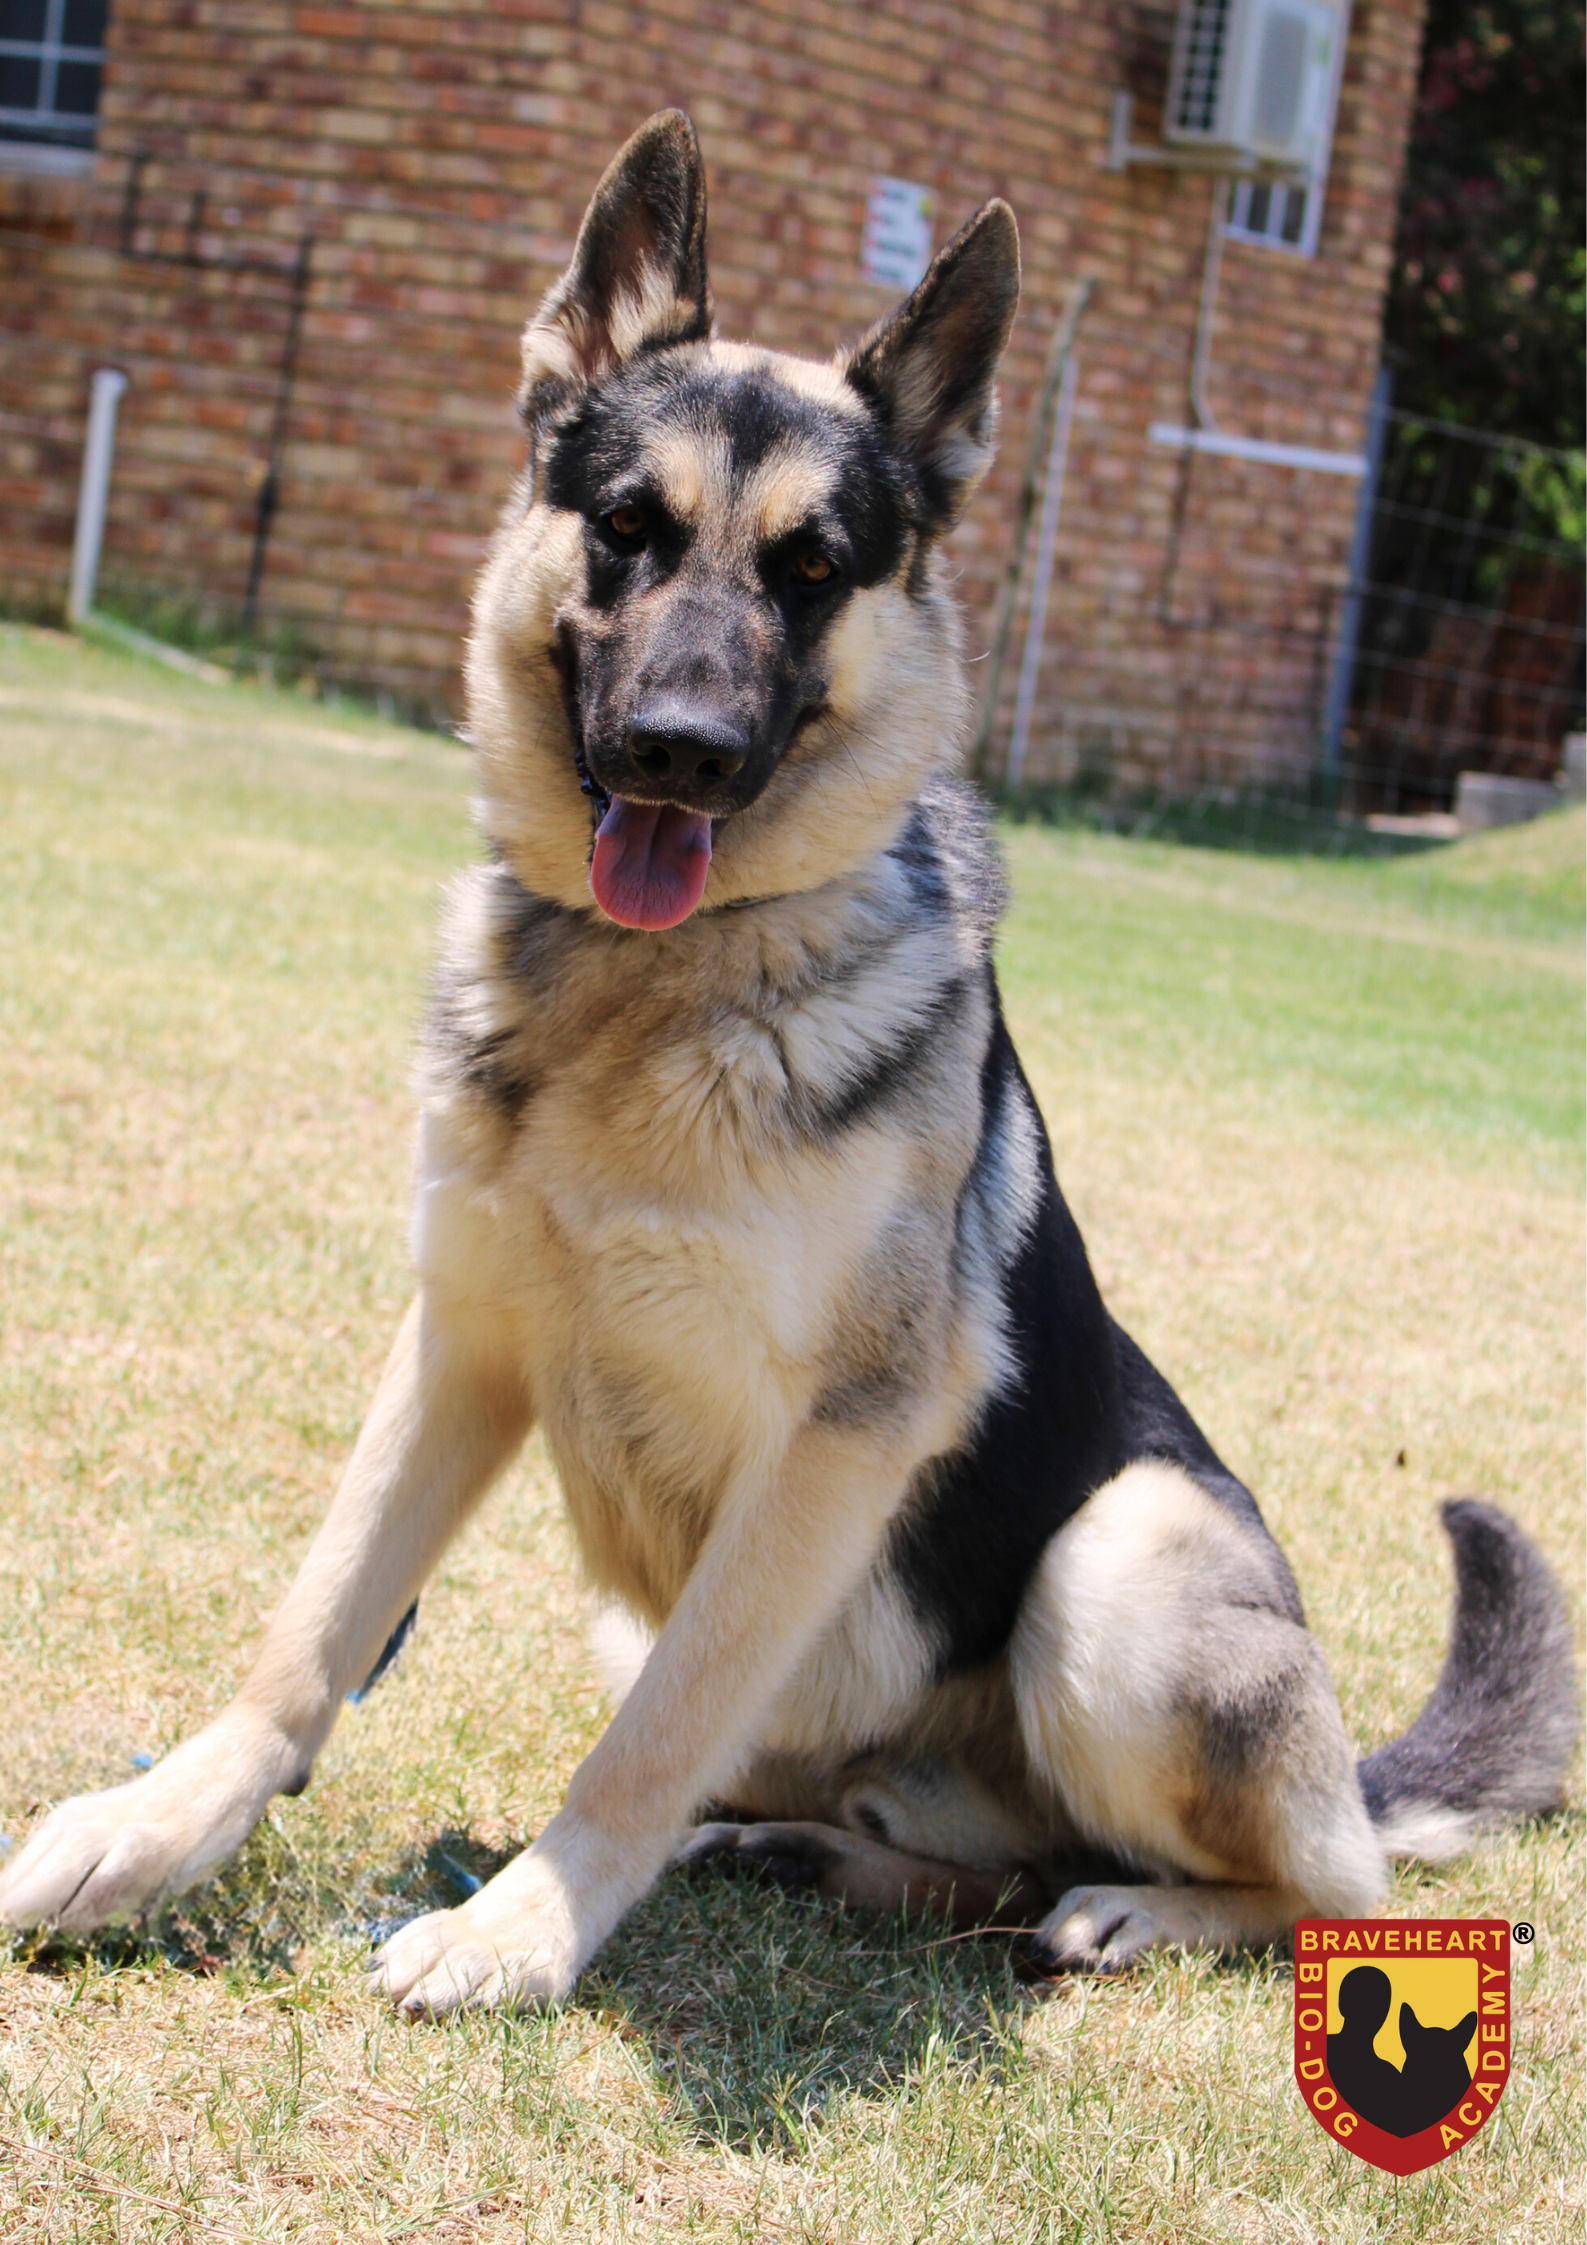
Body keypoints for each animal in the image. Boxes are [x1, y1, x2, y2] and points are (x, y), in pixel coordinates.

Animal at [6, 118, 1580, 2020]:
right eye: (627, 529)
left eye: (812, 568)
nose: (675, 753)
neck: (654, 995)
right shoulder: (460, 1341)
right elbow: (311, 1630)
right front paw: (158, 1828)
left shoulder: (832, 1444)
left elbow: (643, 1740)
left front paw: (521, 1925)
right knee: (953, 1862)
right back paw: (815, 1853)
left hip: (1117, 1563)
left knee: (1312, 1890)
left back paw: (1134, 1909)